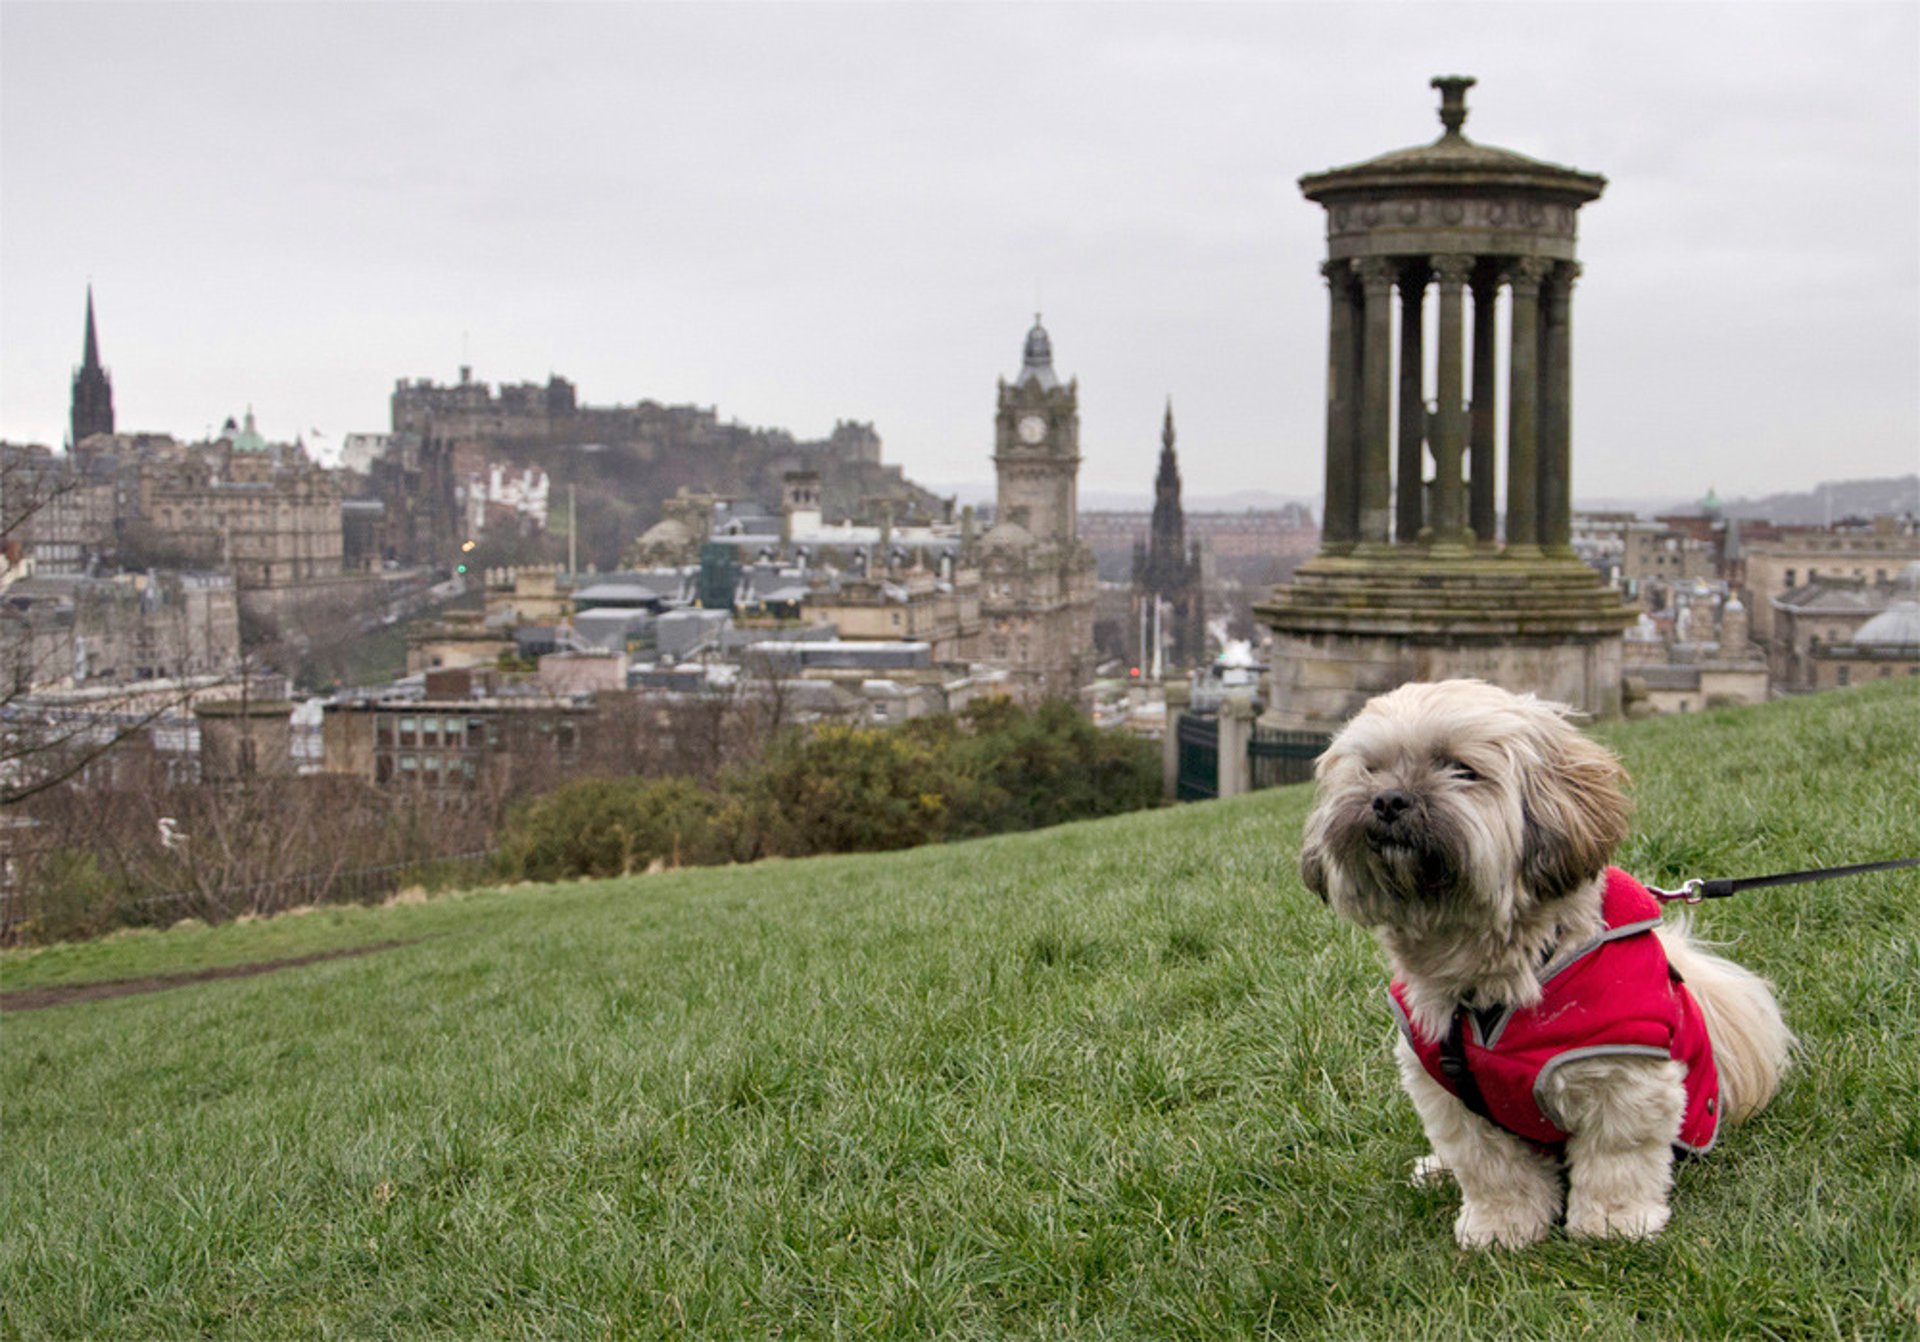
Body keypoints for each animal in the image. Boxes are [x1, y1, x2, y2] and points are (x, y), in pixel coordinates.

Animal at [1297, 683, 1789, 1251]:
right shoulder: (1450, 1096)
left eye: (1462, 770)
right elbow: (1491, 1168)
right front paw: (1500, 1226)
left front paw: (1612, 1224)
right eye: (1371, 770)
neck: (1488, 981)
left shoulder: (1625, 1078)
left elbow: (1617, 1159)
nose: (1388, 799)